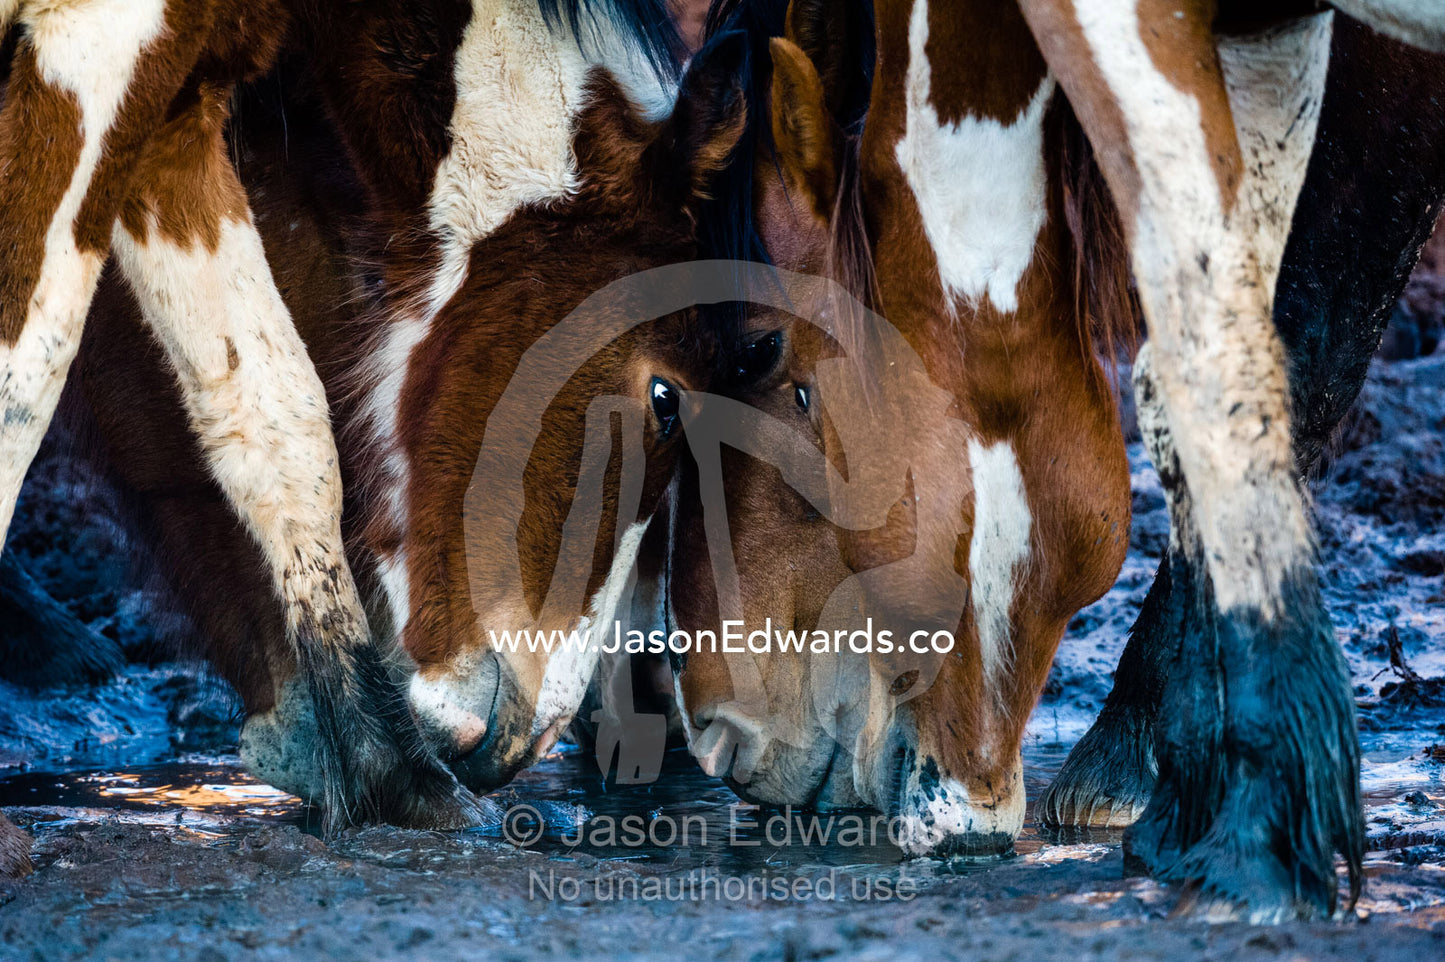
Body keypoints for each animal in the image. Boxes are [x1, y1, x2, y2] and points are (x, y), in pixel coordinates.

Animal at [0, 0, 750, 861]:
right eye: (665, 398)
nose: (519, 740)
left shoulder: (175, 103)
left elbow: (280, 416)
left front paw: (389, 772)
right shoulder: (99, 39)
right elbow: (26, 373)